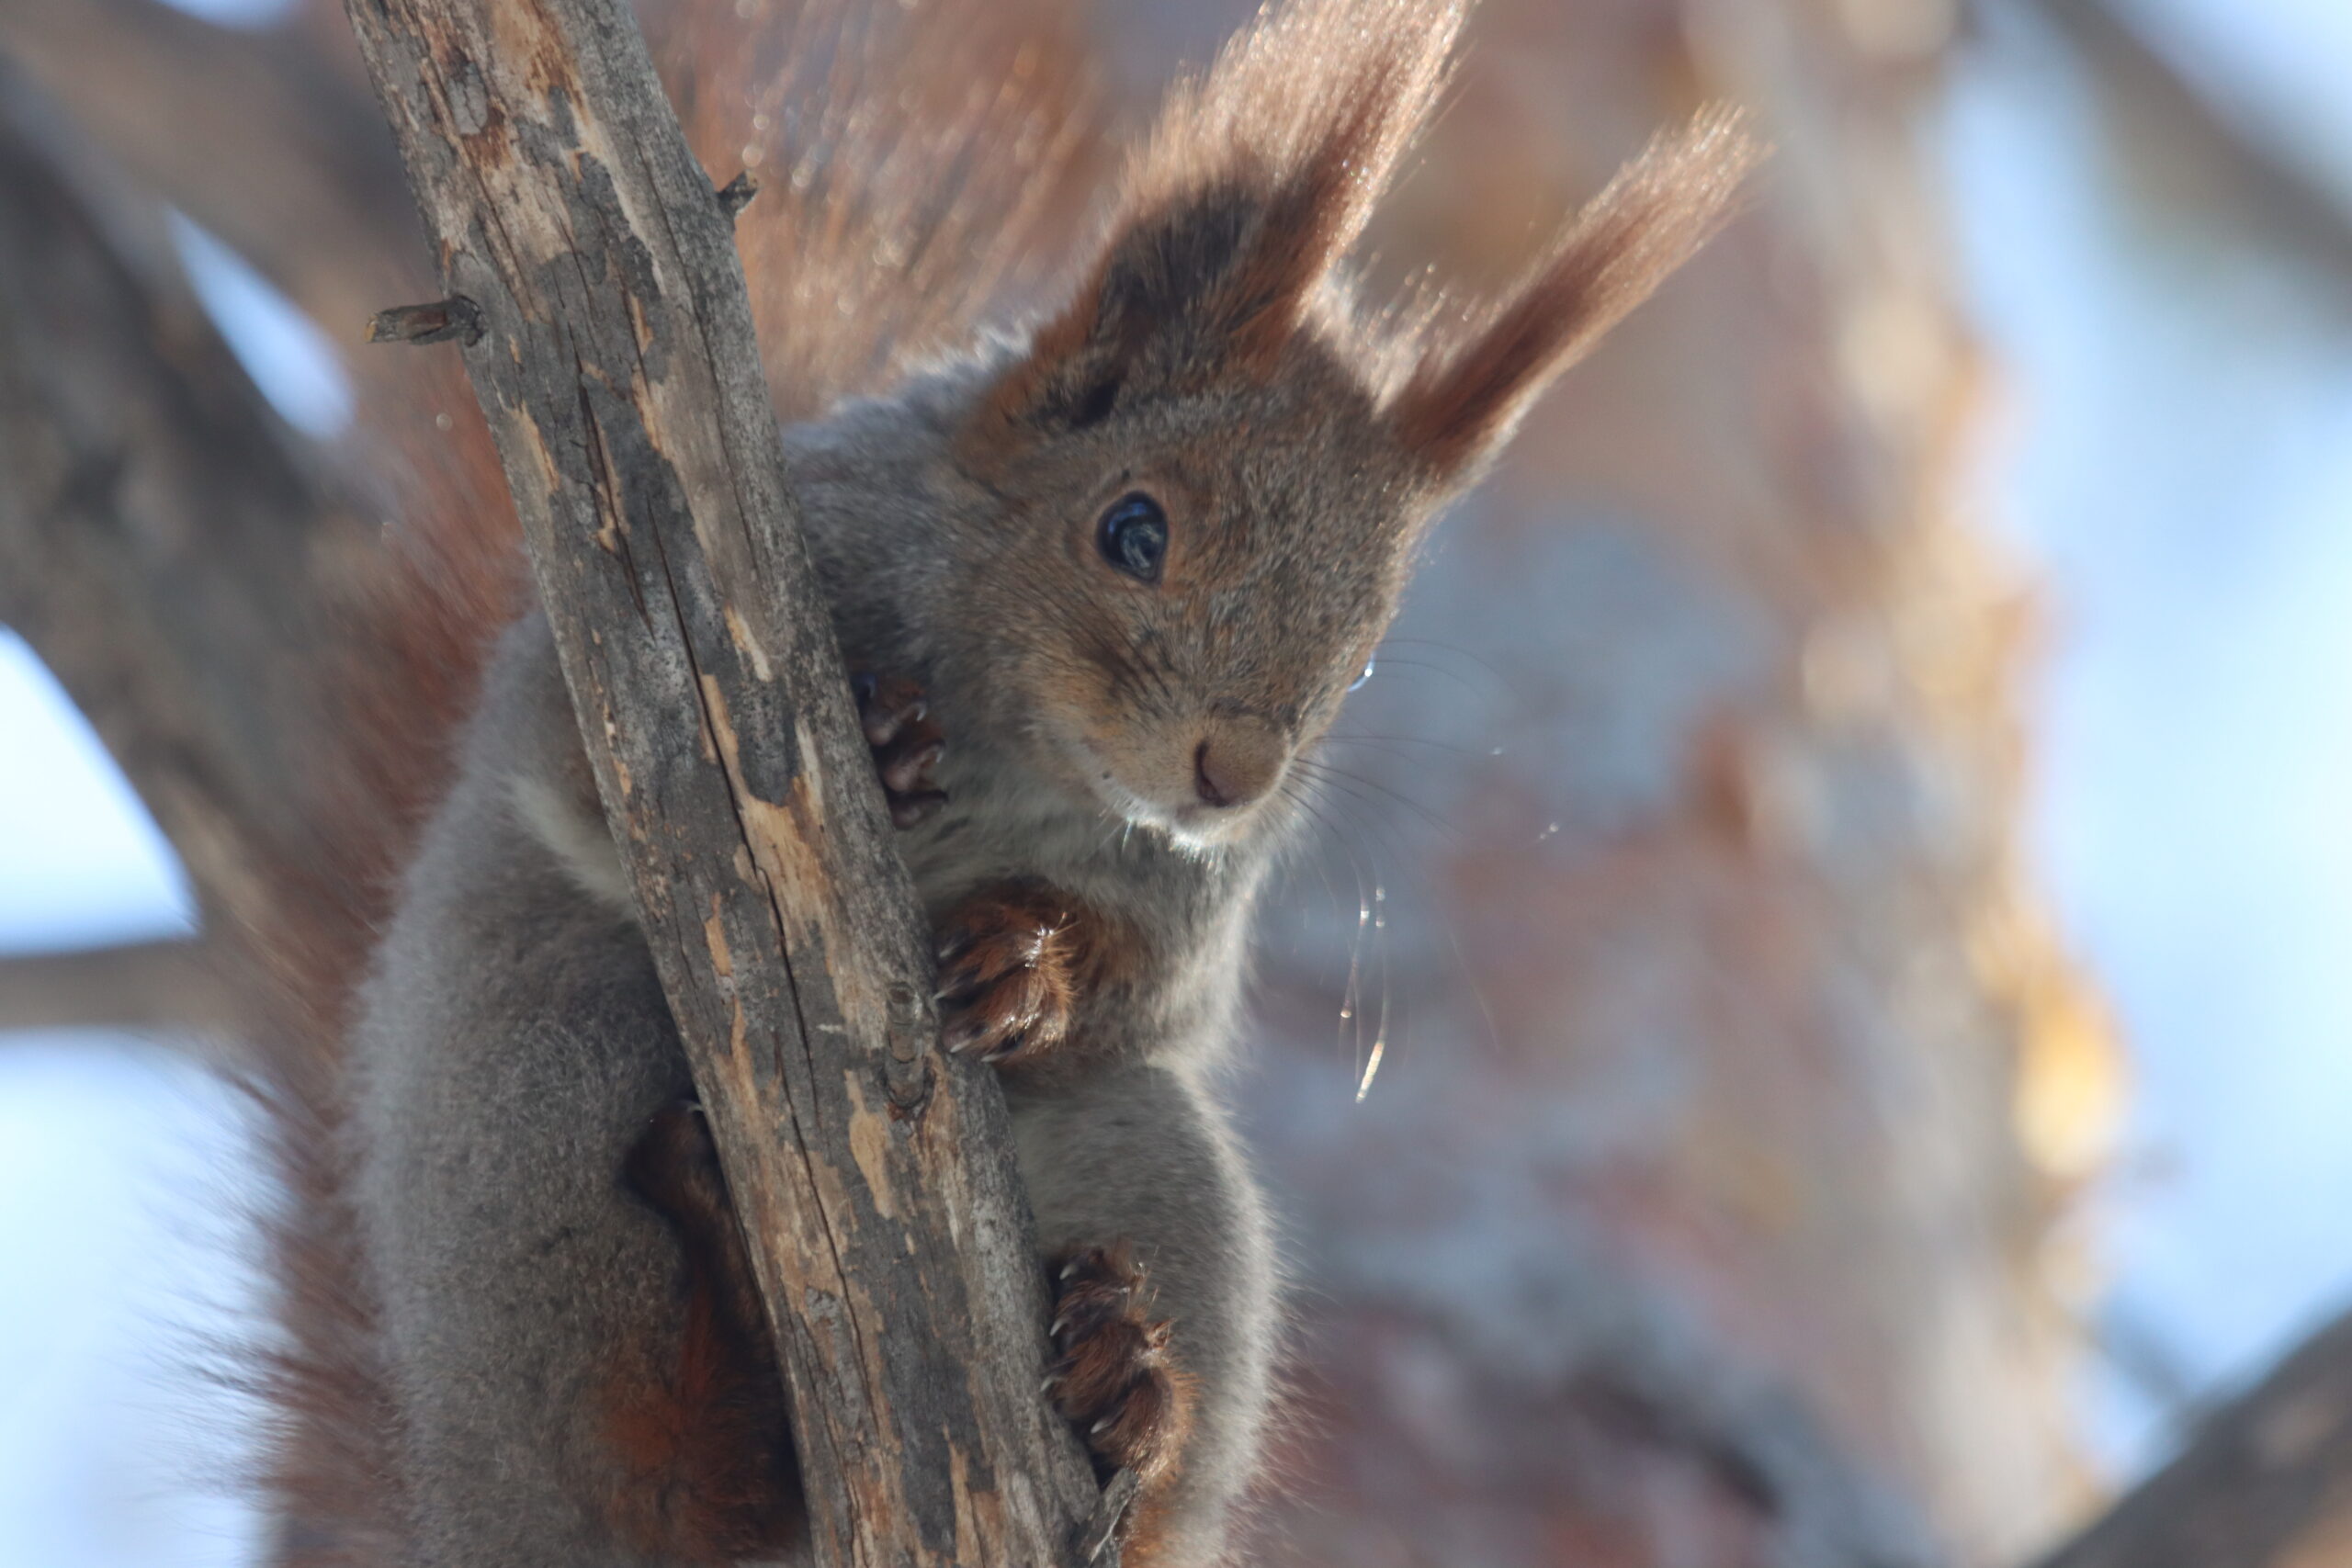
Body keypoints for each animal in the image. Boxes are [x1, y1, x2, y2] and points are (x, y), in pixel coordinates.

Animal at [333, 1, 1757, 1565]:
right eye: (1132, 528)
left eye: (1367, 644)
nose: (1232, 775)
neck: (1031, 757)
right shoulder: (661, 619)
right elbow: (587, 771)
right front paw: (883, 741)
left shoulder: (1193, 905)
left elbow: (1151, 990)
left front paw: (1030, 959)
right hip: (536, 1130)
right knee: (649, 1478)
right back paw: (713, 1329)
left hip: (1164, 1176)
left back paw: (1129, 1384)